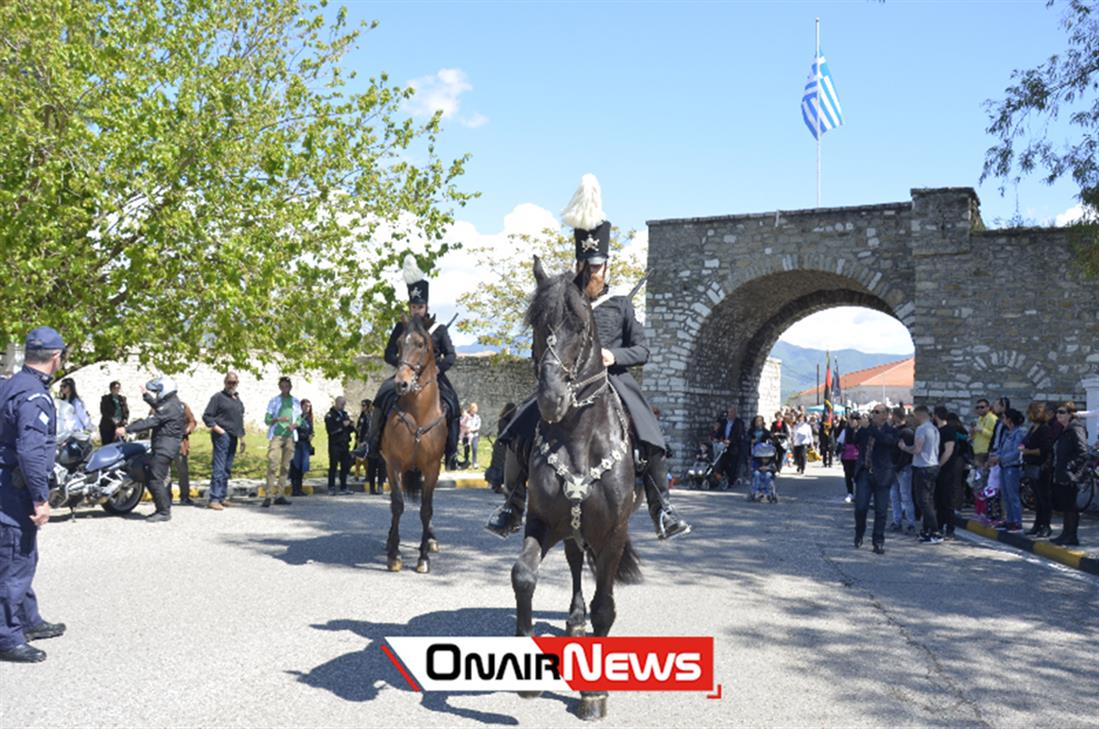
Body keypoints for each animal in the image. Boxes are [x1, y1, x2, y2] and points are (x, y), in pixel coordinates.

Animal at [512, 258, 641, 725]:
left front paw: (594, 693)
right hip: (570, 528)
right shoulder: (541, 520)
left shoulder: (613, 534)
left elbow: (607, 605)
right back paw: (574, 620)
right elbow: (523, 575)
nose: (551, 399)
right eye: (535, 321)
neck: (579, 439)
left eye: (581, 325)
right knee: (572, 562)